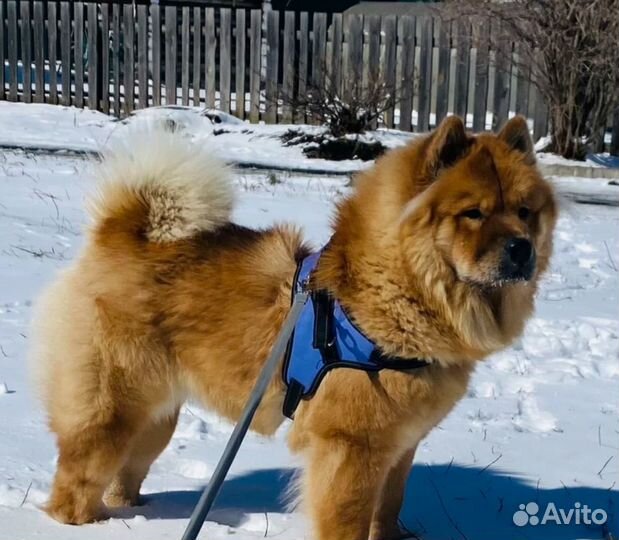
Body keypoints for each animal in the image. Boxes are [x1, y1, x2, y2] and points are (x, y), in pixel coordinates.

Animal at [31, 115, 556, 540]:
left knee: (124, 476)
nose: (521, 247)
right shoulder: (351, 447)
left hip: (156, 420)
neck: (395, 293)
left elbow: (388, 509)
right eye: (473, 213)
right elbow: (347, 520)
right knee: (76, 483)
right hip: (115, 408)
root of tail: (121, 233)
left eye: (524, 212)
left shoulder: (400, 445)